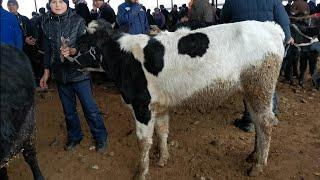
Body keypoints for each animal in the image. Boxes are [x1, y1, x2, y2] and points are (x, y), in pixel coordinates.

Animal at [73, 19, 284, 179]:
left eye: (81, 45)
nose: (67, 56)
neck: (125, 58)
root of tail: (271, 26)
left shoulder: (141, 106)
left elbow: (143, 141)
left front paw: (142, 172)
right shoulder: (159, 106)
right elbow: (162, 131)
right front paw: (163, 159)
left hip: (260, 86)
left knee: (265, 123)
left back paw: (258, 166)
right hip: (252, 91)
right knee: (257, 121)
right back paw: (253, 155)